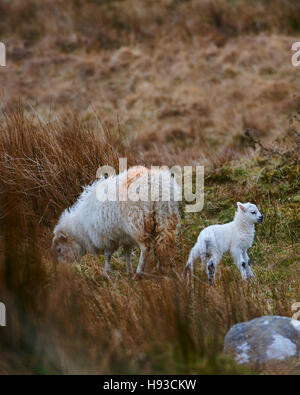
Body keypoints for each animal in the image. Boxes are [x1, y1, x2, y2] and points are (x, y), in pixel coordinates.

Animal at [51, 166, 179, 276]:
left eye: (59, 249)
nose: (63, 271)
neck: (82, 228)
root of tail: (156, 185)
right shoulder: (125, 236)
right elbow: (127, 253)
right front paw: (128, 271)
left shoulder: (107, 237)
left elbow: (108, 255)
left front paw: (106, 272)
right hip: (165, 215)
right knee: (163, 243)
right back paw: (160, 268)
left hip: (138, 222)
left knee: (145, 248)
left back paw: (139, 272)